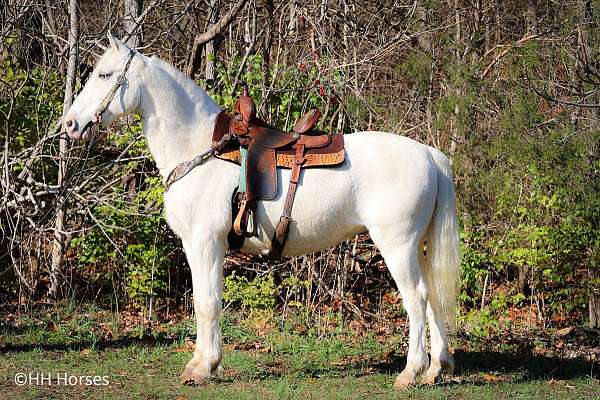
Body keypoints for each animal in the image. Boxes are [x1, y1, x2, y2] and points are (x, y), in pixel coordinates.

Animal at [63, 34, 462, 388]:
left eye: (104, 75)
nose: (69, 124)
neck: (198, 147)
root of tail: (429, 154)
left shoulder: (204, 243)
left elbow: (206, 302)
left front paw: (201, 367)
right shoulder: (207, 246)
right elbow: (209, 300)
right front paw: (207, 362)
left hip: (397, 246)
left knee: (416, 299)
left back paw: (411, 372)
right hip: (417, 247)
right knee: (432, 297)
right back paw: (436, 368)